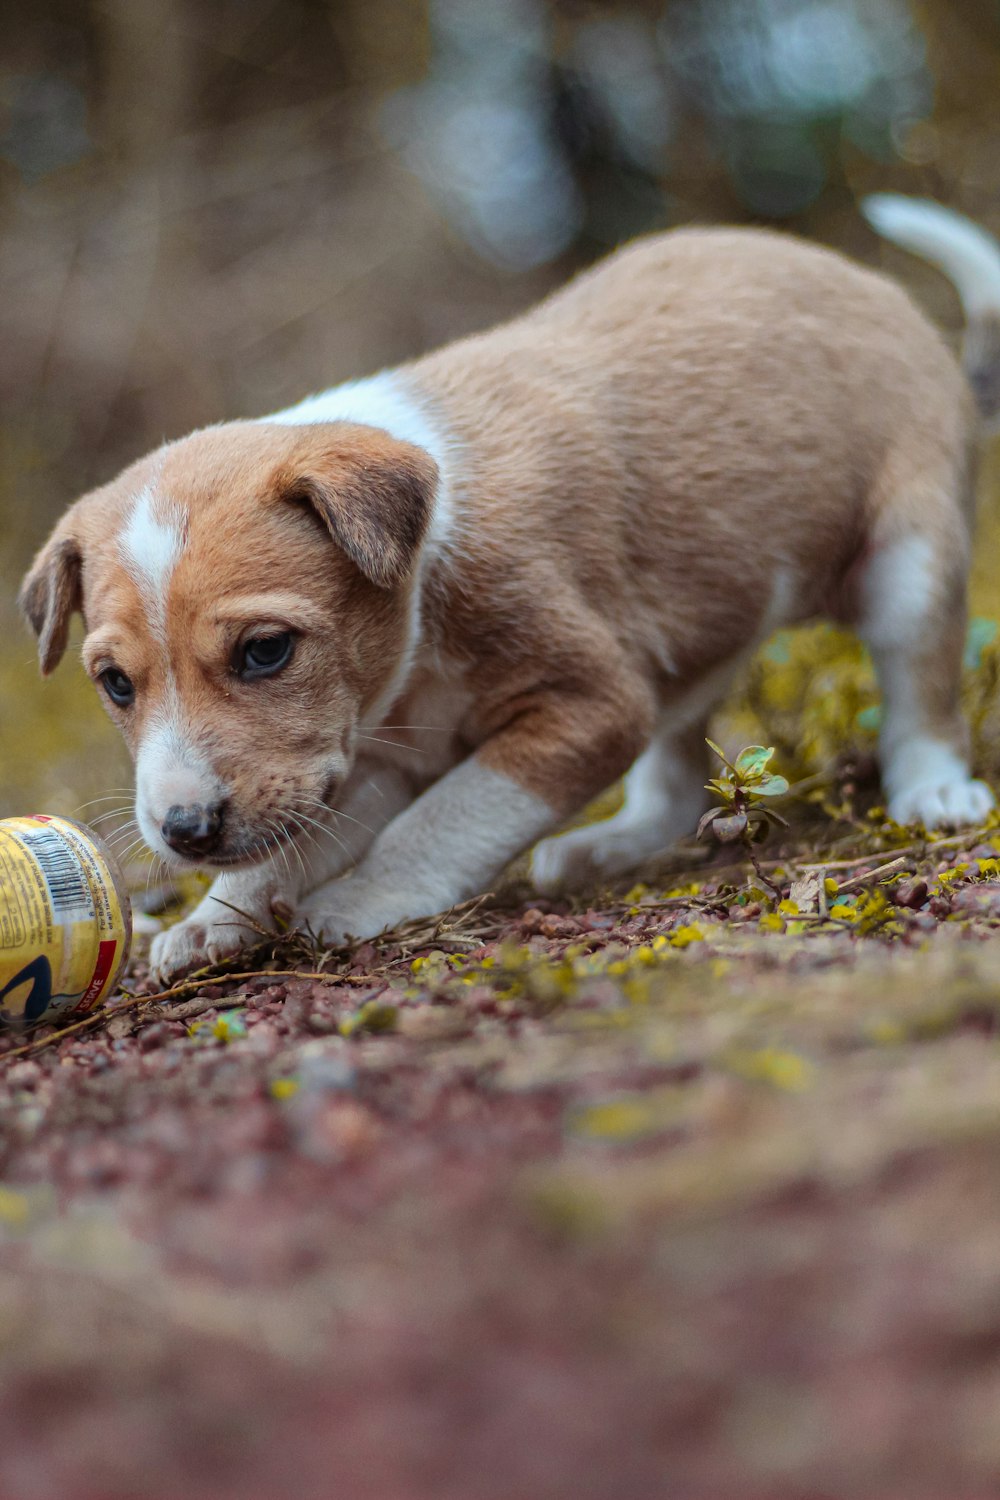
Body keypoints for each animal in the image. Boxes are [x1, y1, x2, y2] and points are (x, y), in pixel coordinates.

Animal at [19, 193, 1000, 978]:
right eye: (116, 685)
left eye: (265, 652)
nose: (182, 833)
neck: (423, 599)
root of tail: (858, 280)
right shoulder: (373, 757)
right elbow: (297, 847)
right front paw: (214, 919)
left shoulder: (585, 707)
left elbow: (442, 821)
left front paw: (359, 901)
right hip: (684, 646)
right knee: (678, 782)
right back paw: (613, 846)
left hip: (907, 566)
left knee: (920, 699)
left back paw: (934, 793)